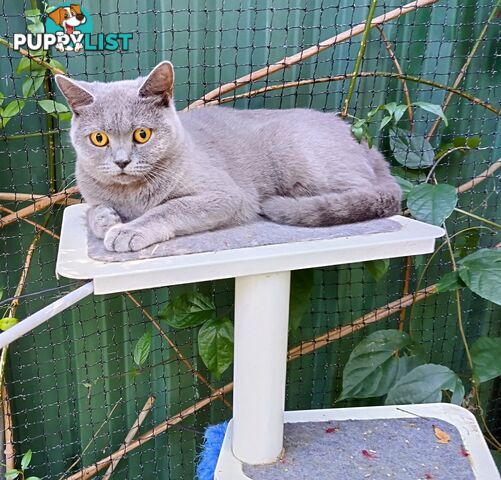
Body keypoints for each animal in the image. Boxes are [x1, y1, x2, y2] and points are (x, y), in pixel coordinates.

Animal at [55, 62, 398, 253]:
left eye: (142, 135)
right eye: (99, 139)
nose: (122, 161)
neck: (130, 196)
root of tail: (361, 140)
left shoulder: (226, 195)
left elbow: (169, 208)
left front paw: (127, 230)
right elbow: (91, 209)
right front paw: (105, 219)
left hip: (296, 151)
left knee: (365, 194)